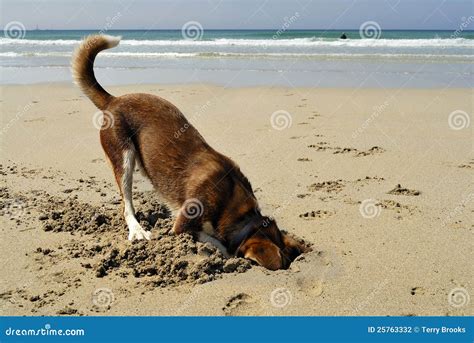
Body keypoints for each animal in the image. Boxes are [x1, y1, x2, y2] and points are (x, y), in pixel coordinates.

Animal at [73, 35, 304, 272]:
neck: (238, 210)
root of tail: (113, 100)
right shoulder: (183, 225)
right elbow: (215, 241)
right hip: (124, 158)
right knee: (127, 204)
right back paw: (137, 230)